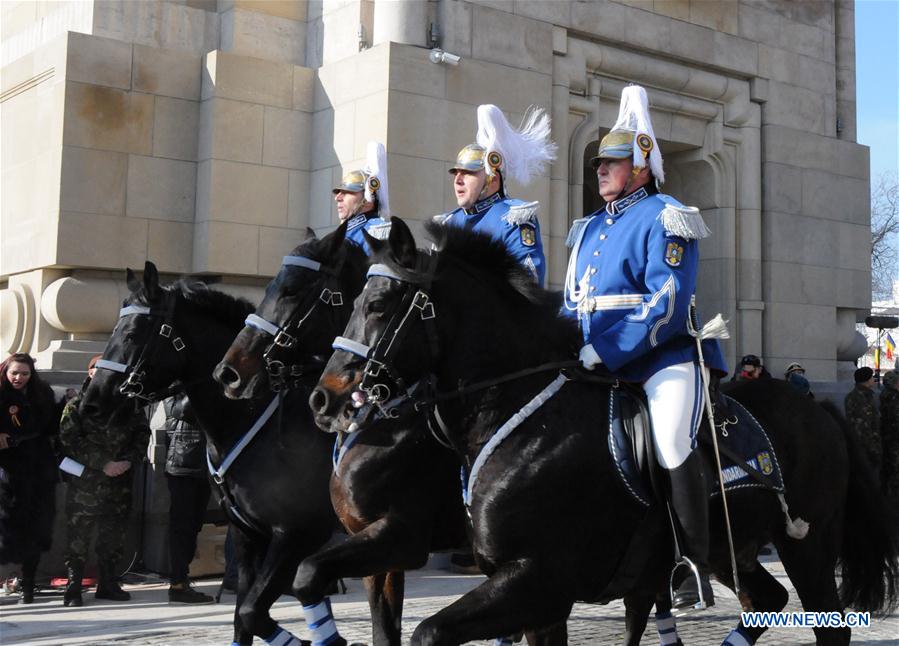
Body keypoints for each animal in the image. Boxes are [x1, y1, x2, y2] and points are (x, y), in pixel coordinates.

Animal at [80, 238, 362, 646]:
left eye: (132, 333)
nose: (91, 401)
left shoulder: (295, 535)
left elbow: (251, 613)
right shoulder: (249, 538)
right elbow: (242, 617)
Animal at [312, 219, 899, 646]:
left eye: (378, 304)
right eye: (351, 300)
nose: (326, 397)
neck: (519, 412)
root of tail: (817, 406)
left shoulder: (533, 577)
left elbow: (426, 631)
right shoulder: (530, 593)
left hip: (808, 545)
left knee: (824, 625)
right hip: (731, 549)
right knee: (765, 603)